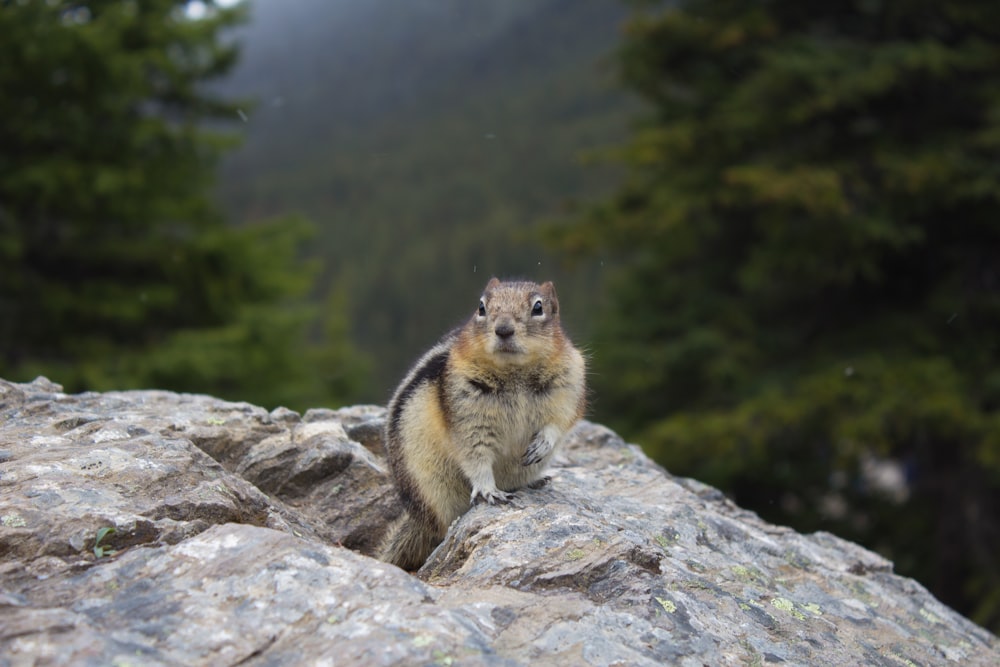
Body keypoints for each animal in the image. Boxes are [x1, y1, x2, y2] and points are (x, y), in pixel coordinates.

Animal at [380, 276, 588, 568]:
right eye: (481, 307)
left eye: (538, 307)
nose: (503, 329)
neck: (515, 371)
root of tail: (417, 518)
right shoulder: (467, 414)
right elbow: (475, 455)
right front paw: (489, 490)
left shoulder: (569, 384)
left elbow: (558, 423)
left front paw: (542, 445)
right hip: (432, 490)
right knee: (442, 525)